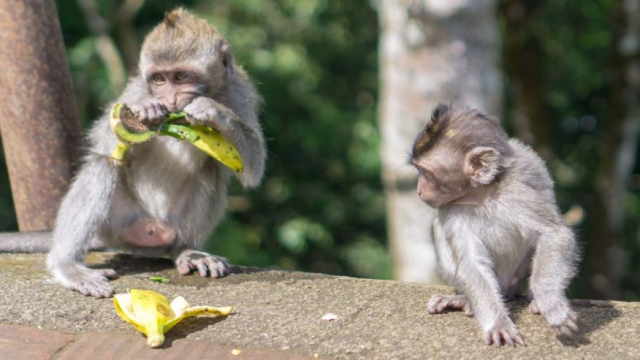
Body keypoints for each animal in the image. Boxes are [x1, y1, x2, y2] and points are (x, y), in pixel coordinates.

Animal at [0, 7, 264, 298]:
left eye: (181, 77)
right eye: (159, 79)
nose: (169, 99)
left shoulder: (240, 91)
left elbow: (254, 166)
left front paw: (211, 110)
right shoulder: (136, 89)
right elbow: (101, 139)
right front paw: (142, 111)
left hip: (169, 226)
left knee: (211, 170)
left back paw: (186, 251)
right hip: (118, 223)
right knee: (103, 164)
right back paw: (68, 265)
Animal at [412, 105, 584, 346]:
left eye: (427, 174)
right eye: (419, 171)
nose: (419, 190)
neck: (484, 194)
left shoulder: (519, 189)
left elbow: (554, 234)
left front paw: (550, 303)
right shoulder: (451, 210)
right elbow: (471, 261)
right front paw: (498, 323)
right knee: (438, 228)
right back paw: (464, 299)